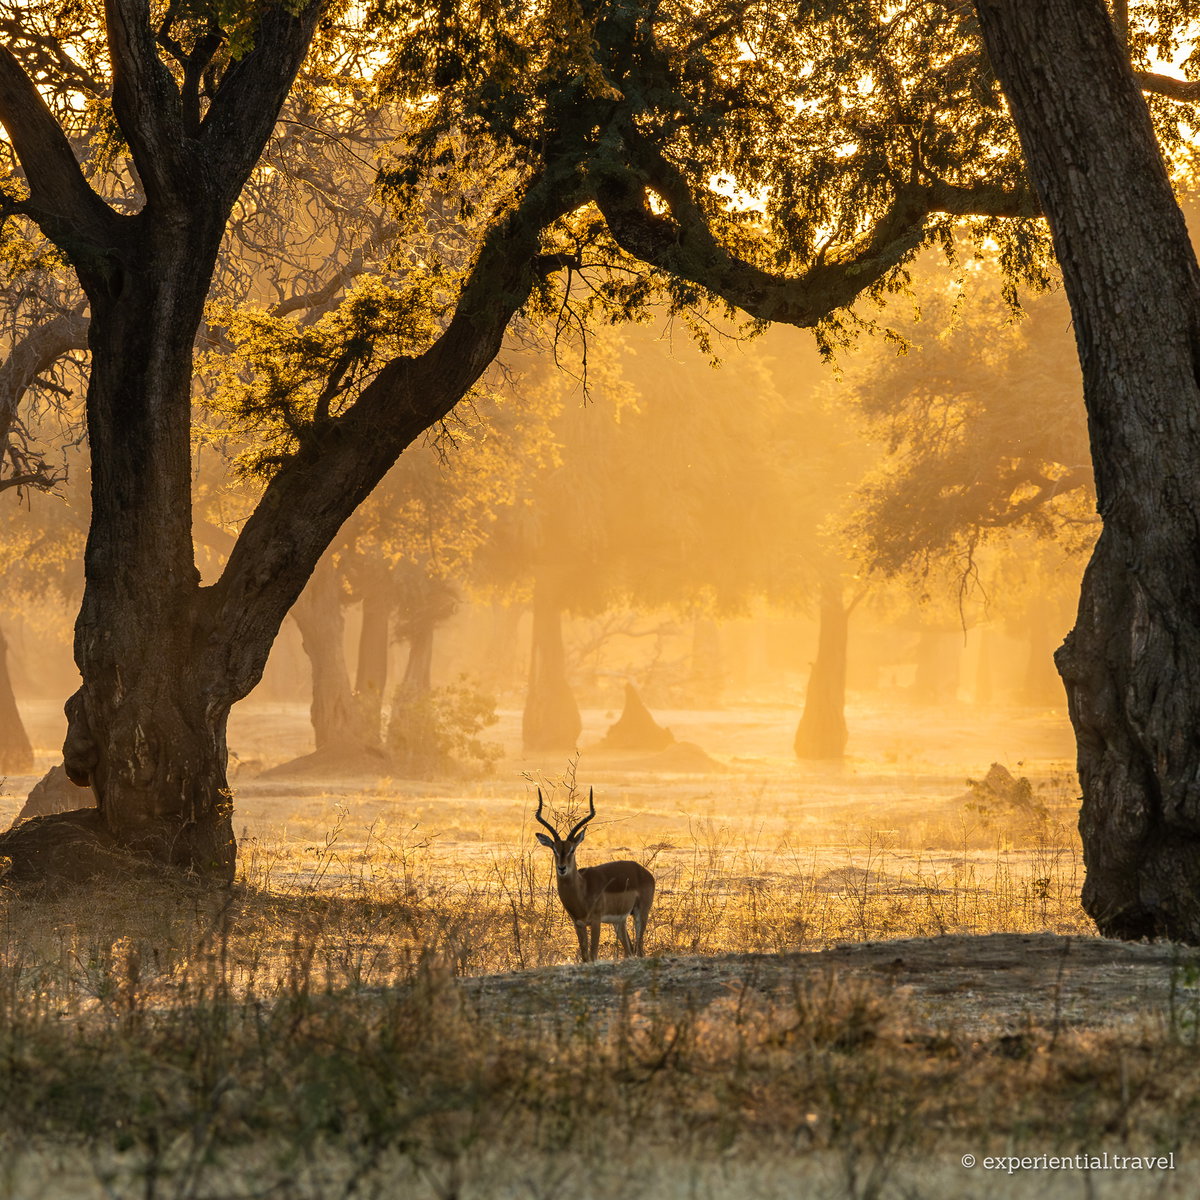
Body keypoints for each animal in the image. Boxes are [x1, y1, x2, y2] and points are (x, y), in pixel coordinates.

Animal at [534, 787, 655, 963]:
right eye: (554, 850)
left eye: (572, 849)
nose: (562, 868)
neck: (582, 889)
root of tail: (642, 871)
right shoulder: (578, 924)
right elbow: (585, 956)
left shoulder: (596, 921)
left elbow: (593, 954)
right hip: (620, 921)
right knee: (630, 950)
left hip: (641, 913)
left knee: (639, 950)